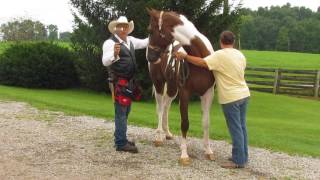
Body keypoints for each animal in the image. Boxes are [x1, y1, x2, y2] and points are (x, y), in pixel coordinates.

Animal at [146, 8, 216, 166]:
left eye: (150, 30)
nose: (150, 56)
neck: (200, 57)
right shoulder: (185, 92)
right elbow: (185, 123)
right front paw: (184, 154)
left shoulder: (208, 93)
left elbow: (206, 122)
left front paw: (208, 150)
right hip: (159, 84)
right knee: (160, 108)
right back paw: (159, 136)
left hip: (172, 88)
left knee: (166, 105)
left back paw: (167, 133)